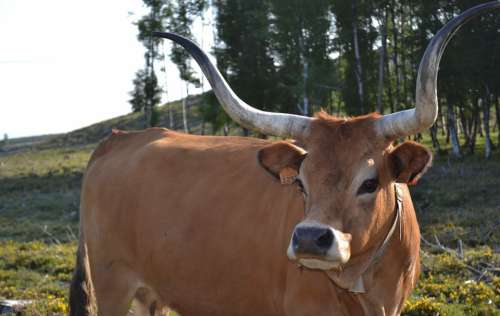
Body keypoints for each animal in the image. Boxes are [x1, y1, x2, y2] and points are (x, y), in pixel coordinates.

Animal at [69, 3, 500, 316]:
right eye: (301, 183)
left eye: (370, 182)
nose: (310, 238)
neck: (364, 287)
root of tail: (119, 138)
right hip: (112, 284)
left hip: (151, 292)